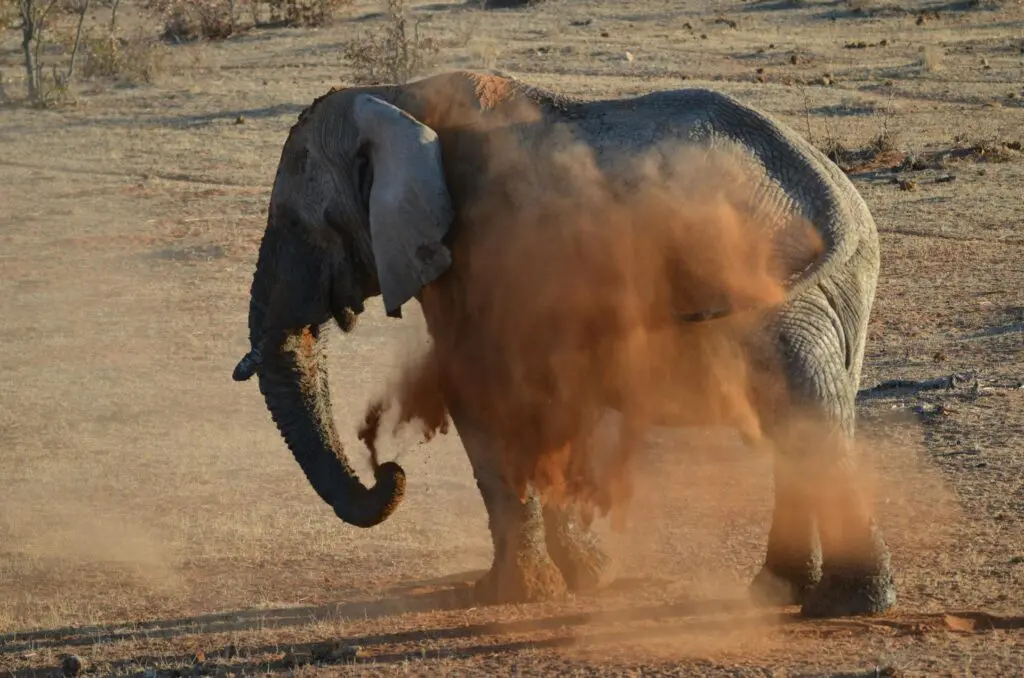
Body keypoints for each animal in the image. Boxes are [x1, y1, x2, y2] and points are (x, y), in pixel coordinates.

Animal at [231, 70, 896, 619]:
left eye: (300, 225)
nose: (387, 470)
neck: (397, 99)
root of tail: (834, 198)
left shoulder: (487, 249)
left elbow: (486, 395)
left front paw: (507, 595)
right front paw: (588, 578)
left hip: (773, 290)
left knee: (808, 414)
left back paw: (843, 605)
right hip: (834, 290)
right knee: (809, 416)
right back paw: (779, 594)